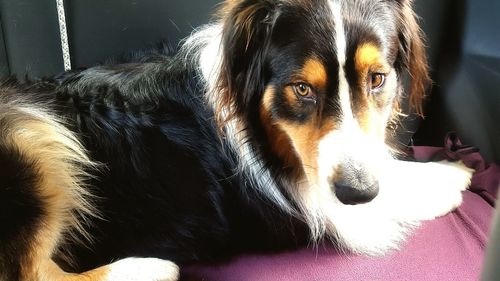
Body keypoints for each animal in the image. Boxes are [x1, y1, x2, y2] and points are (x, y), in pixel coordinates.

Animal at [0, 0, 472, 280]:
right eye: (302, 88)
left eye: (377, 79)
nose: (356, 191)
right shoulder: (302, 204)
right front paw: (449, 179)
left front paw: (447, 169)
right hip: (29, 132)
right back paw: (148, 268)